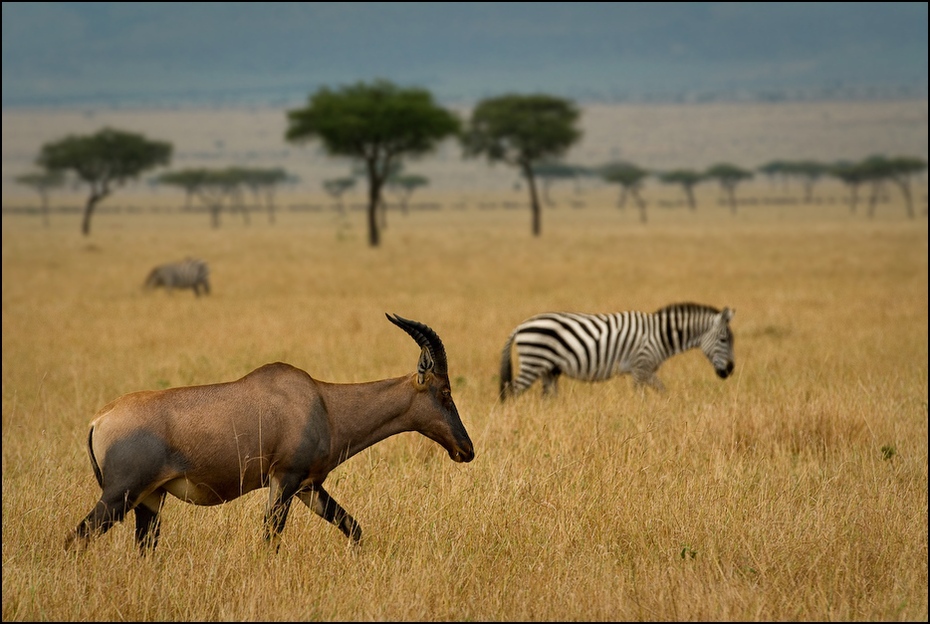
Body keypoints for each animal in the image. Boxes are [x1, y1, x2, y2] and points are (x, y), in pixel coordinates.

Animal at [66, 314, 474, 552]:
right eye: (445, 391)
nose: (466, 450)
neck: (321, 401)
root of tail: (99, 420)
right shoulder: (284, 480)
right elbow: (269, 540)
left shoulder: (309, 487)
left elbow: (353, 528)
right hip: (120, 495)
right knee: (76, 538)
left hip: (150, 499)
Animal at [496, 302, 736, 400]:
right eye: (724, 340)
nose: (730, 371)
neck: (660, 335)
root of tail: (520, 326)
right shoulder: (642, 366)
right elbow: (644, 394)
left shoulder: (647, 370)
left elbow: (661, 390)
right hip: (534, 361)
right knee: (511, 391)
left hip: (548, 368)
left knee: (547, 397)